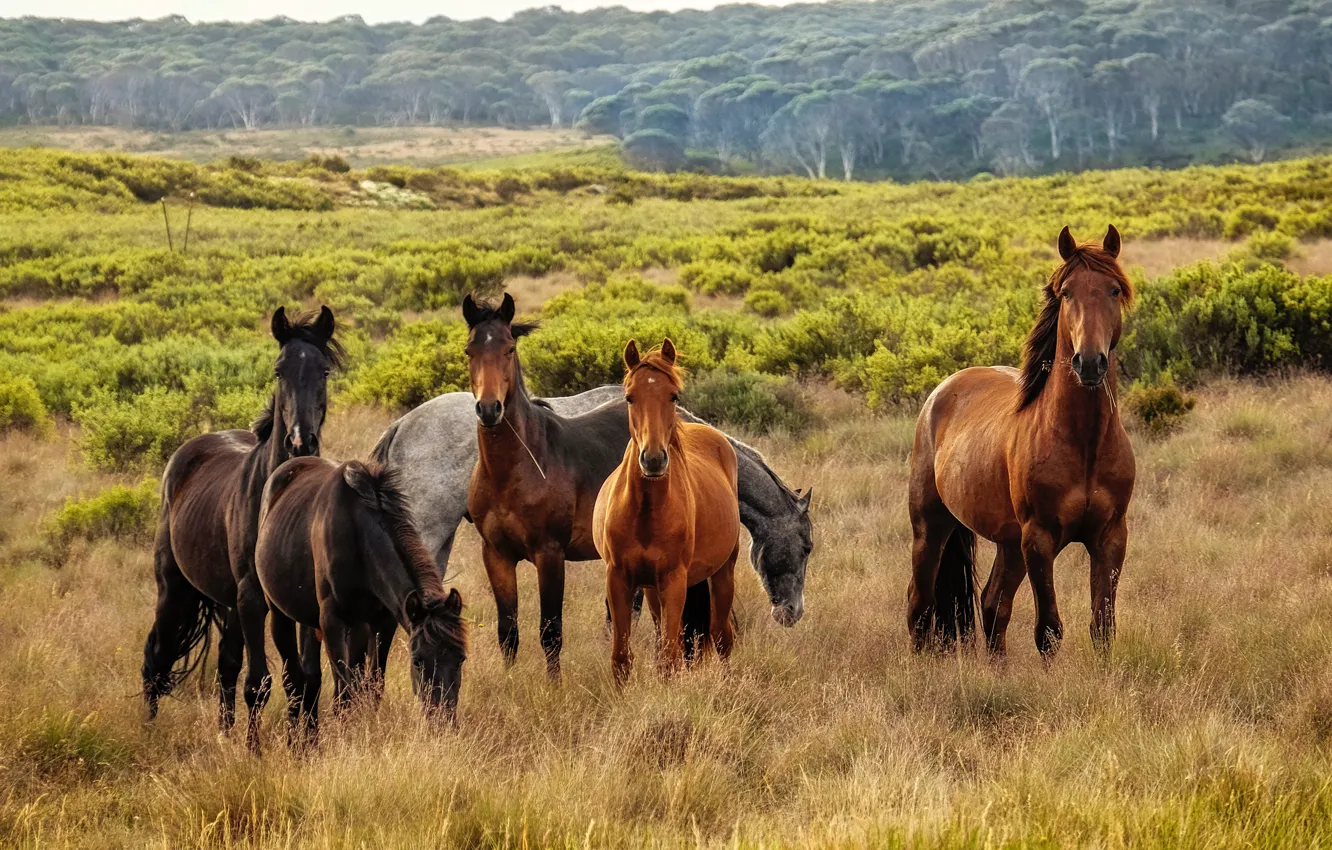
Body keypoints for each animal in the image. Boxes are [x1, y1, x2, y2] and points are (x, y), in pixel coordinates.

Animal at [142, 306, 342, 731]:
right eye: (279, 370)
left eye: (324, 371)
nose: (300, 441)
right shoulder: (252, 597)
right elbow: (261, 682)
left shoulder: (300, 602)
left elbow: (307, 678)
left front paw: (306, 739)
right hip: (174, 589)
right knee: (157, 655)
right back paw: (147, 728)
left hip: (228, 603)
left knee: (226, 665)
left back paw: (225, 731)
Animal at [255, 457, 467, 745]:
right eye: (418, 661)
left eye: (461, 659)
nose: (443, 723)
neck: (358, 535)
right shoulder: (332, 621)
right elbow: (344, 693)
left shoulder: (382, 622)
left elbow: (372, 686)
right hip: (281, 615)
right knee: (294, 681)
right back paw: (297, 742)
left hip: (335, 625)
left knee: (313, 677)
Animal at [594, 339, 741, 684]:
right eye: (630, 397)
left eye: (673, 395)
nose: (653, 459)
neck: (645, 513)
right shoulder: (618, 578)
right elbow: (621, 658)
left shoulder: (674, 580)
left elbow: (669, 659)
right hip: (651, 589)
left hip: (722, 573)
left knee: (721, 636)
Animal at [906, 225, 1135, 657]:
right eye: (1067, 293)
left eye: (1114, 290)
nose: (1089, 362)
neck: (1084, 444)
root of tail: (942, 391)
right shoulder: (1039, 541)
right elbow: (1049, 631)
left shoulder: (1110, 537)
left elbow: (1103, 626)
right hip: (931, 528)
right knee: (920, 605)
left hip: (1008, 543)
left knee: (992, 605)